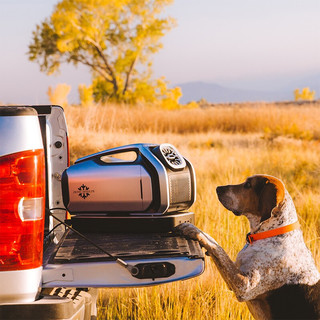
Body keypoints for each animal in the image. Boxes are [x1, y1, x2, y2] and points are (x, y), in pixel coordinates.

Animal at [176, 175, 320, 320]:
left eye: (248, 185)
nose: (218, 188)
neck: (272, 232)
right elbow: (216, 248)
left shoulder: (244, 286)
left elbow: (218, 248)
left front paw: (194, 230)